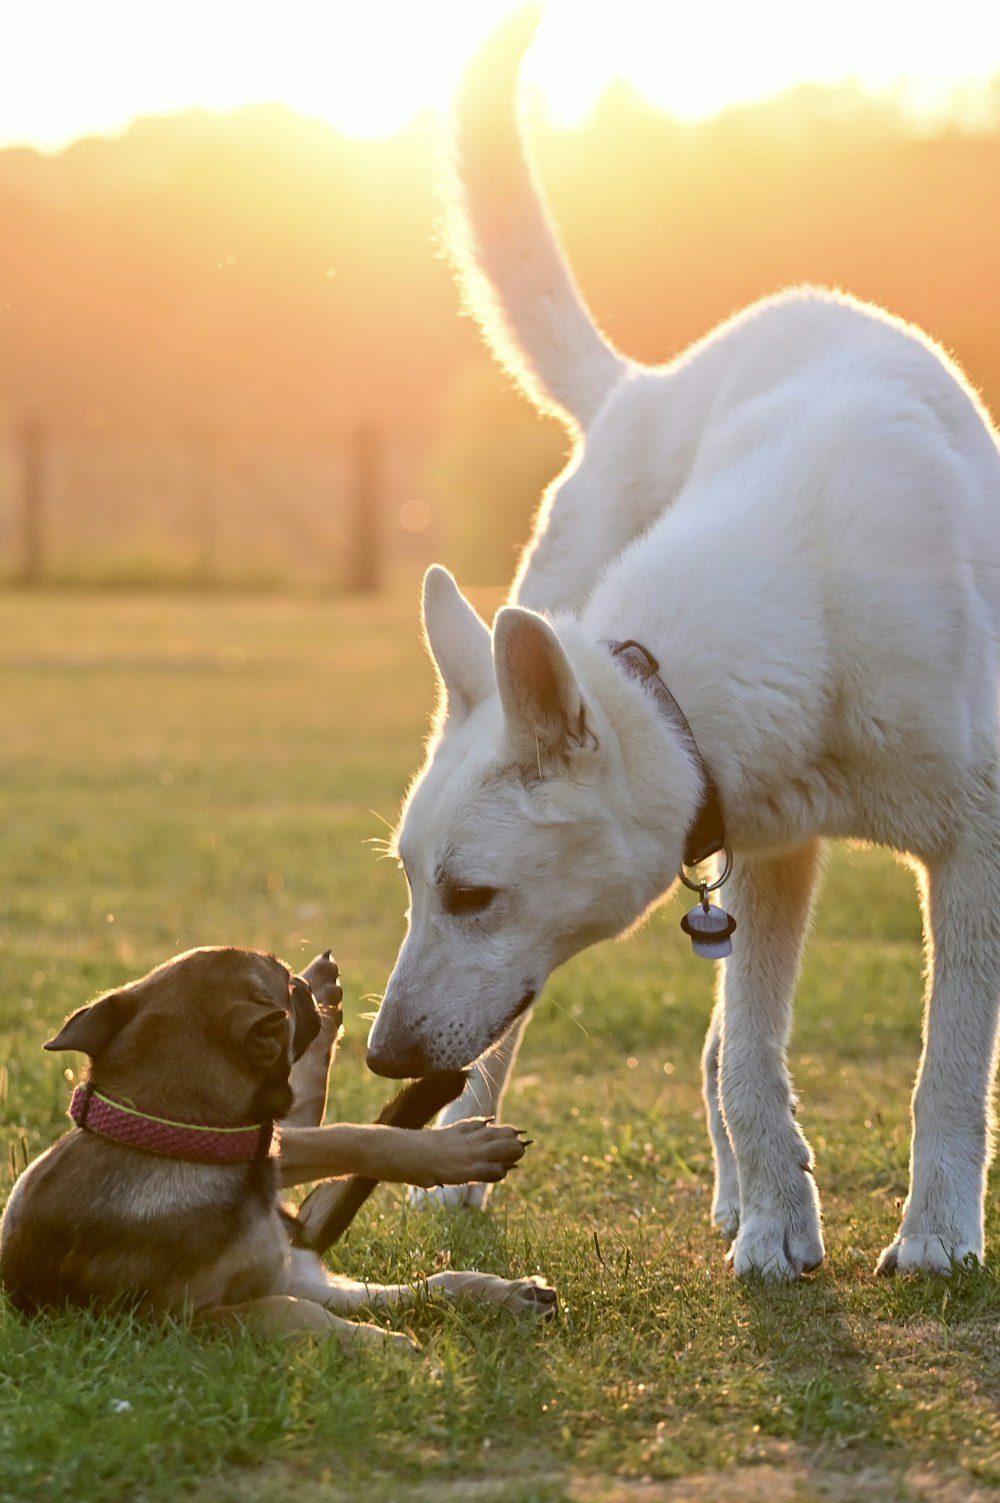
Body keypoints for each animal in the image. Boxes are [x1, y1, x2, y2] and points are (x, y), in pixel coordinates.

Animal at [0, 943, 553, 1346]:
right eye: (285, 988)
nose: (302, 983)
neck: (170, 1135)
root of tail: (297, 1246)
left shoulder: (267, 1149)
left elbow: (354, 1136)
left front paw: (457, 1152)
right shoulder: (178, 1319)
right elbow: (287, 1312)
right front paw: (381, 1343)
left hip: (287, 1189)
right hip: (295, 1261)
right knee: (405, 1291)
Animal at [365, 11, 998, 1280]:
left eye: (470, 894)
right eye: (412, 884)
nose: (381, 1060)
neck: (814, 596)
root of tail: (643, 387)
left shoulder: (967, 856)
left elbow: (947, 1068)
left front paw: (935, 1236)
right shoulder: (771, 855)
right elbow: (750, 1060)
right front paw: (775, 1231)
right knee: (658, 1056)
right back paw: (472, 1173)